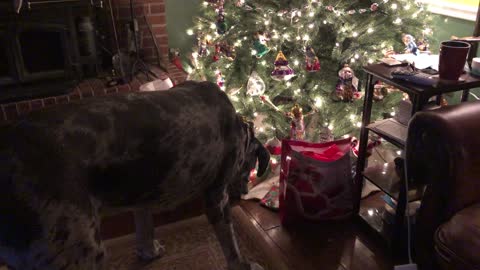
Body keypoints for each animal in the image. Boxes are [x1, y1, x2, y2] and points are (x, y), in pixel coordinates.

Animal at [0, 81, 270, 268]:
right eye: (249, 166)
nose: (244, 191)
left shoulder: (146, 191)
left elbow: (144, 227)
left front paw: (148, 252)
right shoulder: (217, 196)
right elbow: (231, 242)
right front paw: (243, 264)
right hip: (80, 251)